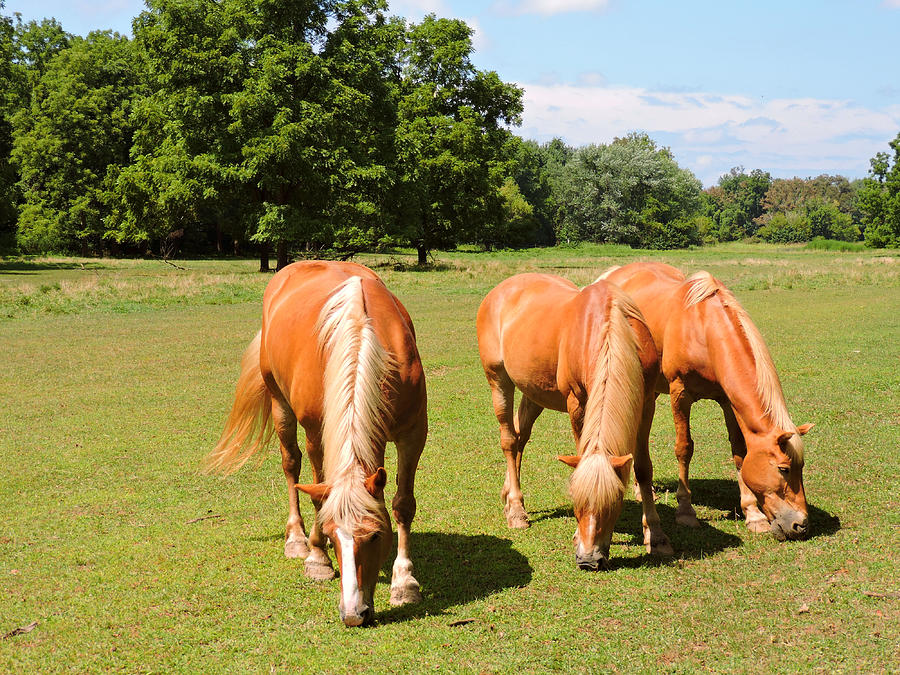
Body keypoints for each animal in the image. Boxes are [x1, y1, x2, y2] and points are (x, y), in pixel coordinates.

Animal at [209, 260, 428, 628]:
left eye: (376, 535)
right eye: (333, 534)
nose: (354, 614)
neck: (362, 339)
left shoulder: (414, 433)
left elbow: (403, 504)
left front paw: (405, 581)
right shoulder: (315, 434)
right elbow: (316, 493)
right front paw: (317, 558)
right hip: (279, 403)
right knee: (290, 464)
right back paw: (297, 539)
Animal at [474, 274, 672, 572]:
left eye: (613, 505)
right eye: (577, 502)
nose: (588, 560)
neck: (611, 327)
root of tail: (498, 291)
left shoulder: (646, 401)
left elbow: (643, 469)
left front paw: (657, 536)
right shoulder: (577, 402)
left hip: (534, 391)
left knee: (520, 437)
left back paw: (509, 497)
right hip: (497, 378)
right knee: (509, 441)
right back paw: (517, 511)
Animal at [604, 262, 816, 540]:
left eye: (801, 466)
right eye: (784, 469)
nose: (801, 524)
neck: (703, 329)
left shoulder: (727, 400)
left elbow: (739, 452)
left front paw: (753, 514)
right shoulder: (680, 393)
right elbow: (684, 448)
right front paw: (685, 511)